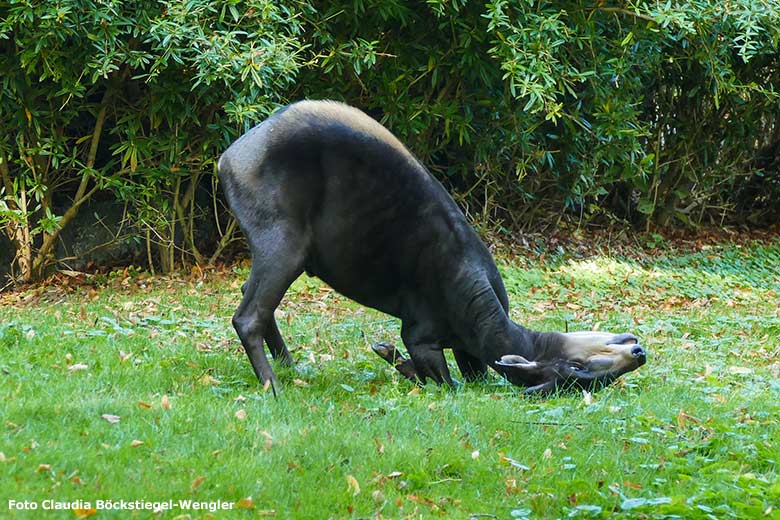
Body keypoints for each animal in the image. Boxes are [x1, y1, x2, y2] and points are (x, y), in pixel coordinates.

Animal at [218, 100, 644, 394]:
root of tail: (227, 160)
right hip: (282, 239)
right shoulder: (420, 333)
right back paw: (273, 386)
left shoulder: (467, 351)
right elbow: (446, 384)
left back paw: (290, 366)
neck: (481, 322)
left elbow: (469, 379)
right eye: (576, 369)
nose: (638, 353)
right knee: (248, 315)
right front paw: (393, 359)